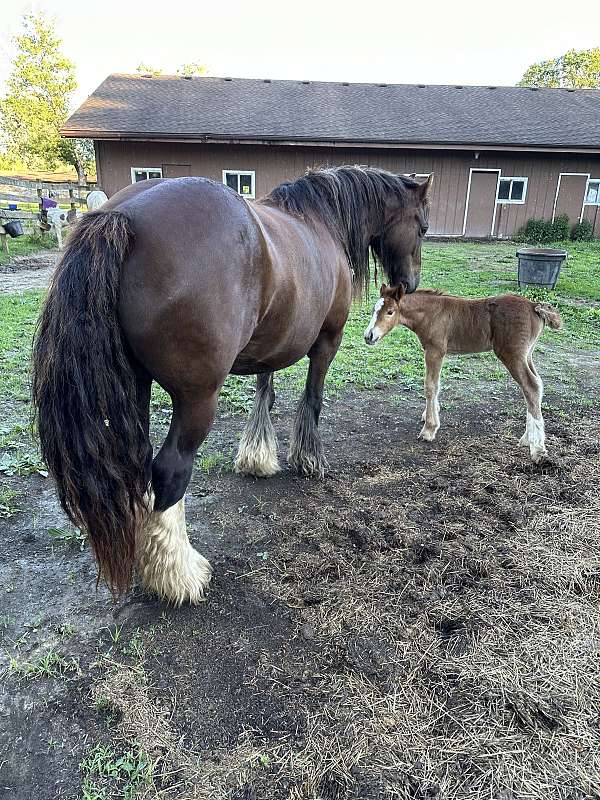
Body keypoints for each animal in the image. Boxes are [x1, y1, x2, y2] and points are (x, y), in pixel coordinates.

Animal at [32, 166, 433, 605]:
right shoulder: (328, 341)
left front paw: (257, 457)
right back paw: (179, 575)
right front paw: (308, 459)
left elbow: (264, 394)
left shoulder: (271, 345)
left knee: (138, 468)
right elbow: (312, 399)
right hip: (197, 399)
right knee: (170, 472)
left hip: (136, 388)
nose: (411, 283)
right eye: (423, 227)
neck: (320, 221)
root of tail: (125, 216)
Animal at [364, 284, 562, 463]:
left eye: (390, 312)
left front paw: (429, 429)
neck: (431, 314)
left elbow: (431, 386)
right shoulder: (435, 353)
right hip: (526, 354)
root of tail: (533, 306)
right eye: (374, 310)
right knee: (536, 385)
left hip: (512, 355)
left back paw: (537, 450)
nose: (368, 336)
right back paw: (527, 439)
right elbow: (436, 385)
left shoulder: (435, 351)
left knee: (530, 386)